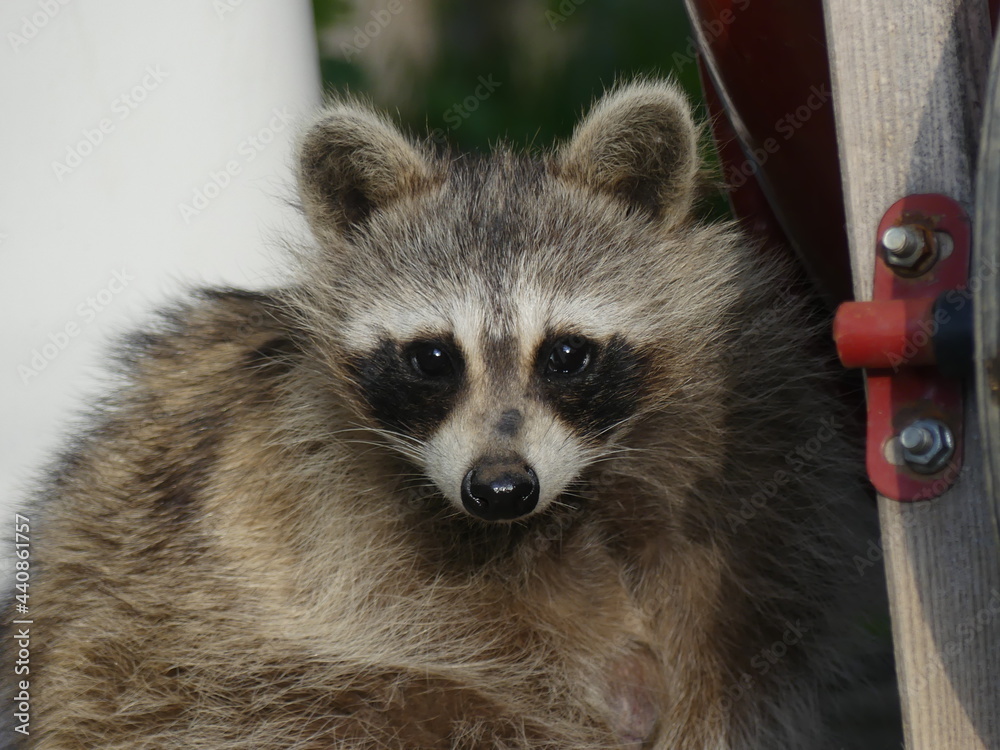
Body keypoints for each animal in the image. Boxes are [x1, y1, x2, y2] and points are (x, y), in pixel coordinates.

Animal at [7, 80, 876, 749]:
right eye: (432, 358)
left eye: (566, 354)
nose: (500, 488)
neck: (565, 508)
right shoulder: (323, 516)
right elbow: (446, 641)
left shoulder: (754, 425)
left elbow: (754, 634)